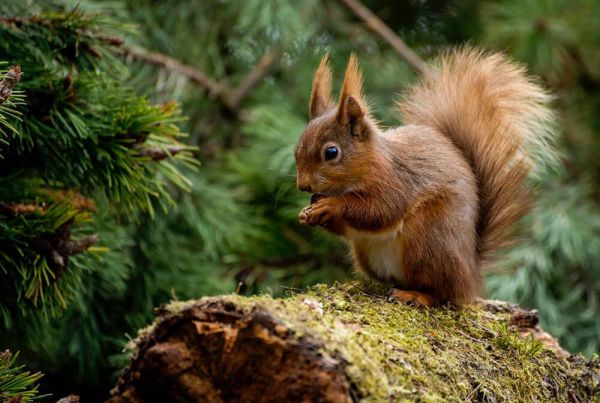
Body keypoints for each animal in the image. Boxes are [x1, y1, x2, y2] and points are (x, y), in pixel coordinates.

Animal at [296, 48, 552, 306]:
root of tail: (470, 274)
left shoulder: (396, 181)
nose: (303, 185)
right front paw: (310, 211)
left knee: (442, 292)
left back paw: (416, 295)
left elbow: (380, 210)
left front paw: (331, 205)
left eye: (331, 152)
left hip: (428, 239)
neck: (371, 162)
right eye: (297, 148)